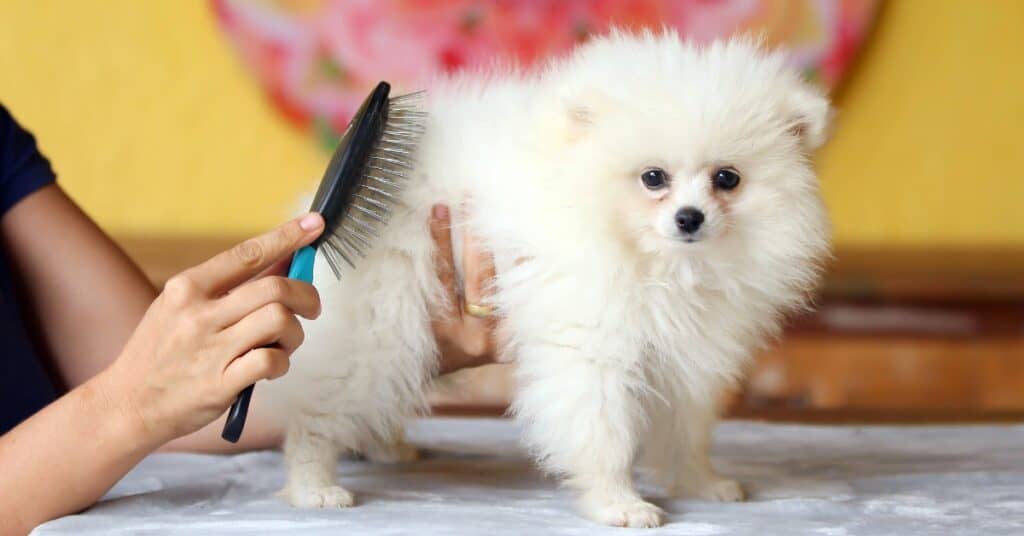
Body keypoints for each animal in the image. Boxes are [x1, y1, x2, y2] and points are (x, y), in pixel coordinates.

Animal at [264, 30, 831, 528]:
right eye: (653, 178)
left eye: (727, 179)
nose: (689, 218)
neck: (660, 263)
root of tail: (324, 213)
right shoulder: (591, 340)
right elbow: (603, 431)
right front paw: (619, 503)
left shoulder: (686, 350)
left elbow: (685, 428)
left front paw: (701, 482)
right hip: (383, 320)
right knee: (321, 404)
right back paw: (313, 485)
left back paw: (384, 447)